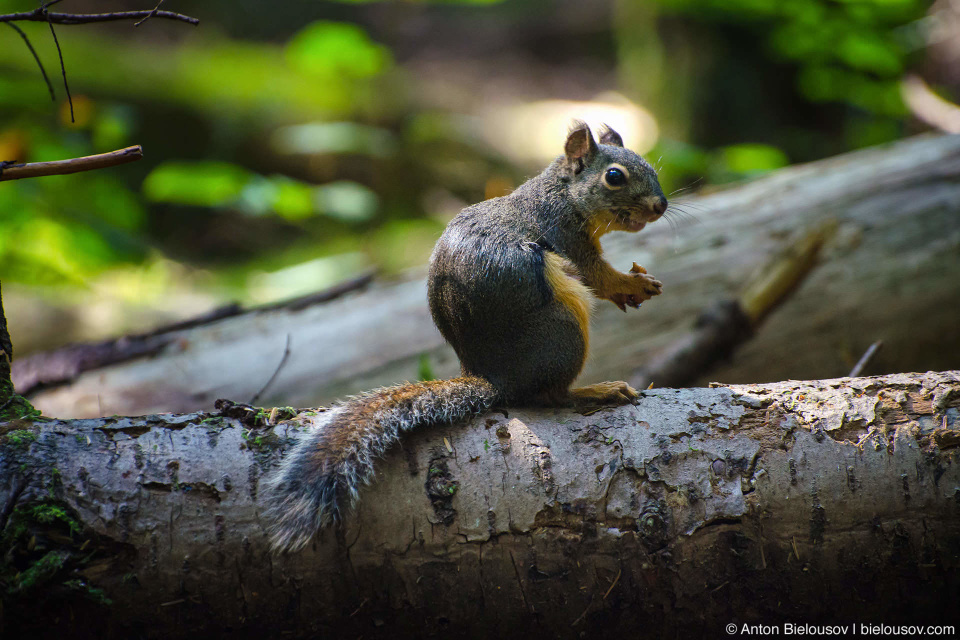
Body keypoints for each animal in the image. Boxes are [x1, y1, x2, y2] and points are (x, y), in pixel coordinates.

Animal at [262, 122, 668, 552]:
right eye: (614, 177)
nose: (660, 205)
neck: (561, 193)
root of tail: (496, 379)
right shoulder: (565, 235)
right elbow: (596, 276)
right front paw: (632, 285)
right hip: (564, 330)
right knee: (549, 396)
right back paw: (596, 391)